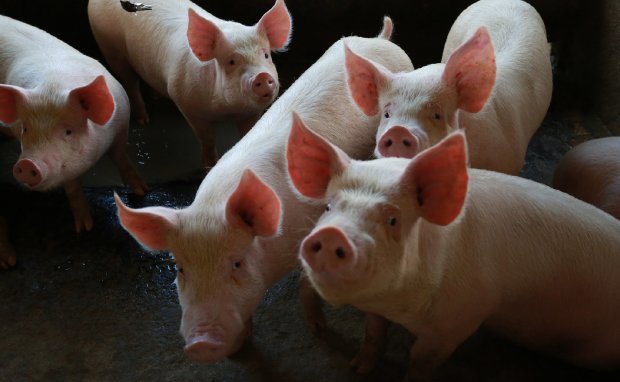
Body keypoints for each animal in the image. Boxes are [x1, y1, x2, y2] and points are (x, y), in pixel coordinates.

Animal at [0, 15, 147, 239]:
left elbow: (122, 159)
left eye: (68, 131)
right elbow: (73, 189)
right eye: (25, 129)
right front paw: (84, 230)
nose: (26, 164)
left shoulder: (121, 127)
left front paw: (142, 192)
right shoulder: (65, 169)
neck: (53, 87)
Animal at [87, 0, 296, 167]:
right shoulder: (187, 105)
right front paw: (209, 166)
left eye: (266, 55)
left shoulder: (250, 112)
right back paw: (144, 120)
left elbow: (247, 133)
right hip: (110, 48)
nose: (262, 76)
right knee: (130, 83)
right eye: (231, 61)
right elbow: (206, 139)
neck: (225, 110)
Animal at [112, 18, 412, 364]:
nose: (201, 343)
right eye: (180, 269)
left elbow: (307, 288)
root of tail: (380, 39)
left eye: (237, 263)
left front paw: (318, 329)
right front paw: (242, 345)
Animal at [288, 121, 620, 380]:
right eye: (328, 206)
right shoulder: (379, 308)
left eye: (393, 219)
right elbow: (373, 332)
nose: (332, 234)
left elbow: (420, 361)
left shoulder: (458, 322)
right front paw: (357, 368)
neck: (399, 307)